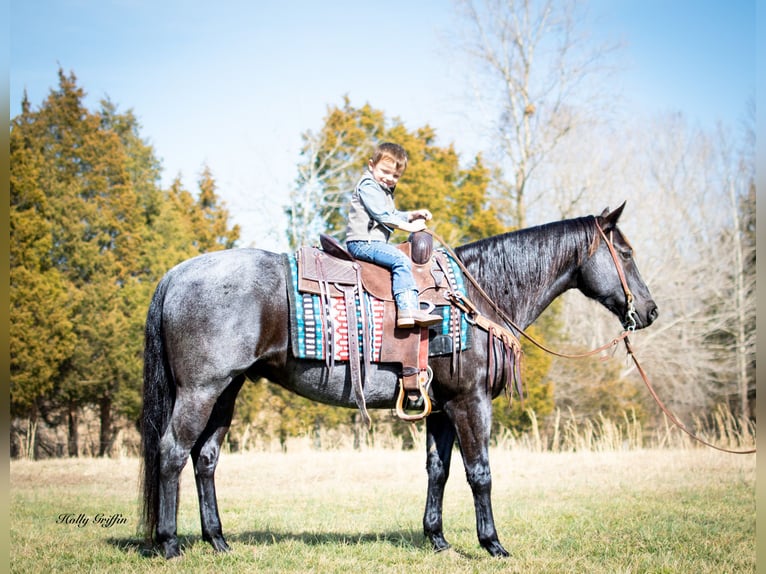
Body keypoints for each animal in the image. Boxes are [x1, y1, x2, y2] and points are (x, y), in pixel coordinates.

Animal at [138, 202, 660, 560]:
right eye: (627, 252)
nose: (650, 311)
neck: (476, 297)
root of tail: (177, 274)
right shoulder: (471, 402)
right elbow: (480, 473)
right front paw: (492, 544)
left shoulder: (442, 408)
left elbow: (438, 471)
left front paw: (438, 539)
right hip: (202, 390)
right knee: (172, 453)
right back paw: (169, 543)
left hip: (226, 391)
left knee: (205, 460)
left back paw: (218, 541)